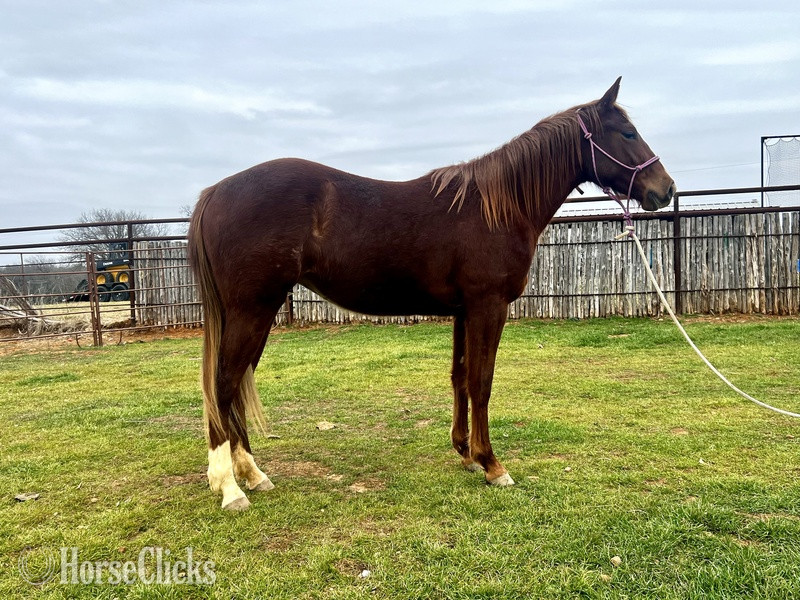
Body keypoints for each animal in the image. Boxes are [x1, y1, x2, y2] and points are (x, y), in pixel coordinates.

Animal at [188, 77, 675, 510]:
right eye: (627, 132)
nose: (665, 189)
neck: (495, 207)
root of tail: (215, 192)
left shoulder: (464, 311)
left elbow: (460, 377)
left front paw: (466, 453)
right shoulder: (488, 307)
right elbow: (482, 382)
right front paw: (493, 465)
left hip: (255, 313)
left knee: (235, 385)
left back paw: (253, 474)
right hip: (253, 309)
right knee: (225, 383)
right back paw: (229, 487)